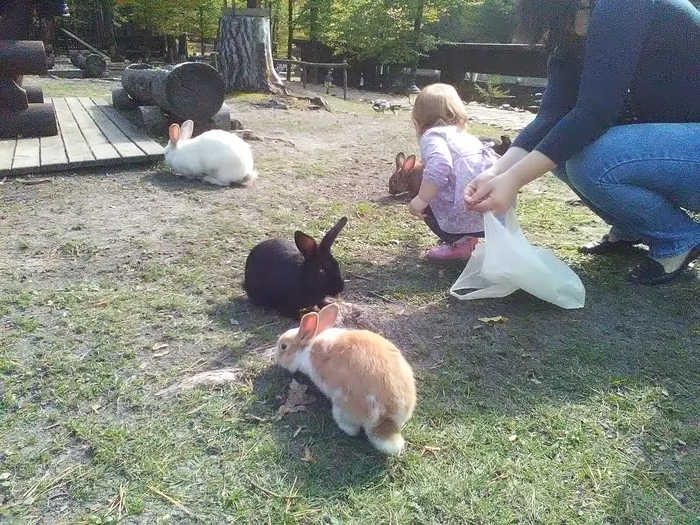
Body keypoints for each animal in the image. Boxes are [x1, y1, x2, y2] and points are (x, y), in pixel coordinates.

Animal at [275, 303, 416, 455]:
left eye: (283, 346)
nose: (277, 358)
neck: (308, 346)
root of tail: (385, 418)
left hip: (342, 406)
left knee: (351, 428)